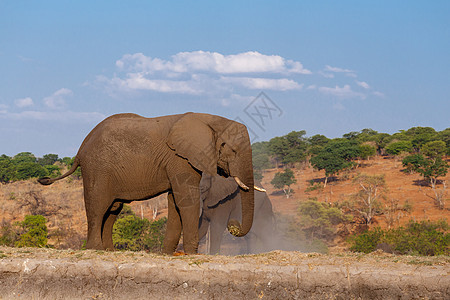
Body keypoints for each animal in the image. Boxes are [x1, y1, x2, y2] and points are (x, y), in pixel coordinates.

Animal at [37, 112, 256, 253]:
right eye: (233, 150)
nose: (233, 225)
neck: (209, 119)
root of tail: (81, 148)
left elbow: (175, 201)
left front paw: (166, 254)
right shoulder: (179, 157)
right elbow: (186, 199)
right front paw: (191, 253)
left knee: (113, 209)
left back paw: (109, 251)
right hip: (97, 168)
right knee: (98, 206)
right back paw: (95, 250)